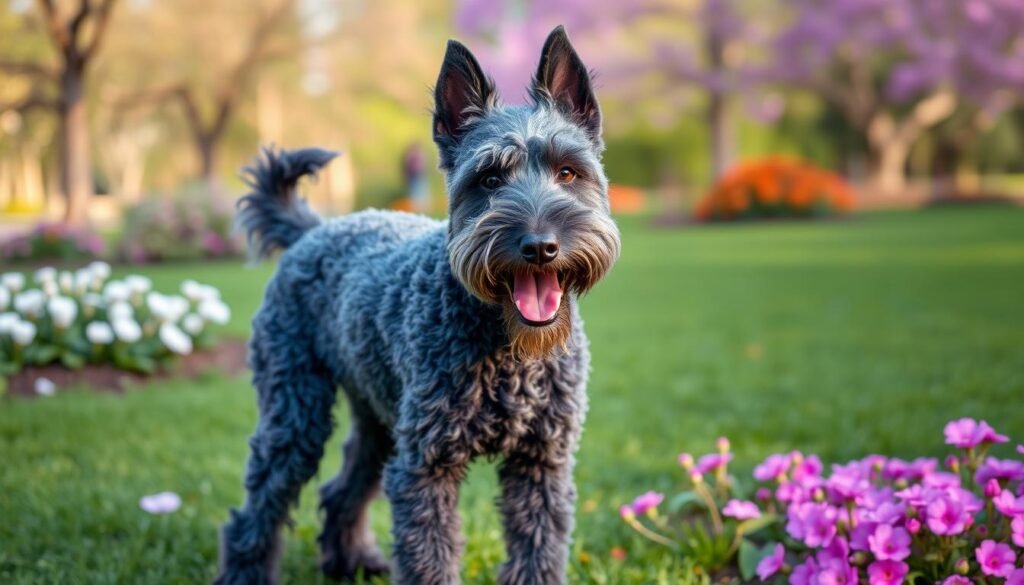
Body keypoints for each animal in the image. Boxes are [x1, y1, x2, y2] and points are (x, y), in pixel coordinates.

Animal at [214, 25, 622, 581]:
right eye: (489, 178)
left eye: (567, 172)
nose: (540, 246)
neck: (505, 348)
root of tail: (313, 230)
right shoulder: (425, 467)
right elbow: (429, 558)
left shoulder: (542, 463)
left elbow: (537, 553)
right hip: (296, 415)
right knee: (256, 509)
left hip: (378, 419)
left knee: (341, 490)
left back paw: (352, 562)